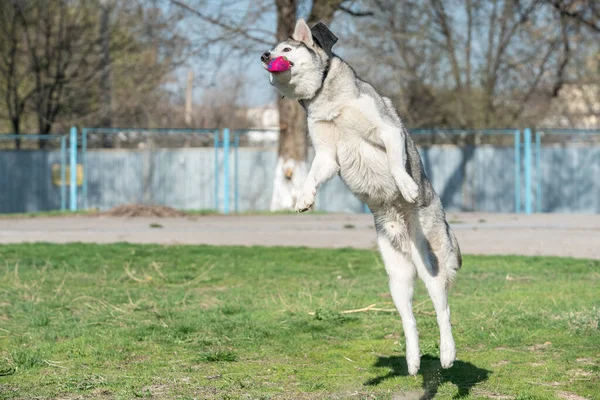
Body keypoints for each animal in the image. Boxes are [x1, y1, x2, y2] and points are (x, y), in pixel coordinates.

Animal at [260, 18, 462, 376]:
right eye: (272, 49)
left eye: (286, 48)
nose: (264, 55)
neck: (326, 98)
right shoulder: (327, 155)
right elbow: (311, 175)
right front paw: (303, 198)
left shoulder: (388, 130)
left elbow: (395, 163)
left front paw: (407, 186)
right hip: (397, 277)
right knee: (409, 320)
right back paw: (412, 360)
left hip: (431, 264)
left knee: (443, 311)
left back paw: (447, 353)